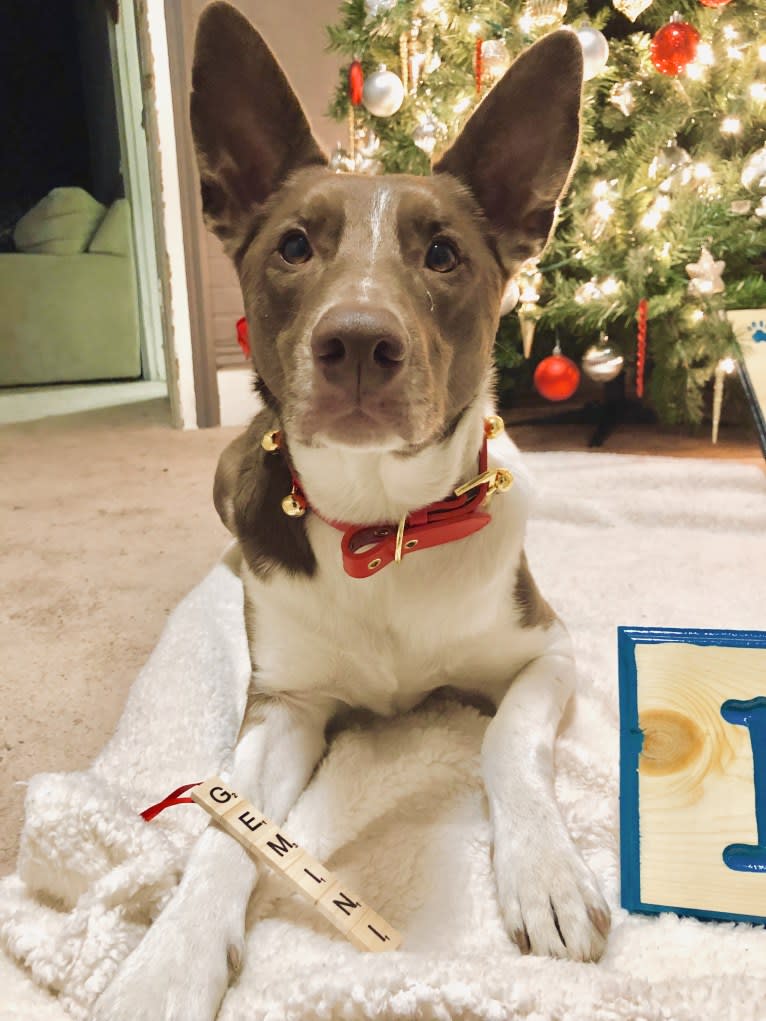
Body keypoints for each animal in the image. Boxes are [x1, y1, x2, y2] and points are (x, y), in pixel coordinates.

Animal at [96, 3, 612, 1016]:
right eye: (294, 246)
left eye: (443, 253)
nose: (361, 342)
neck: (384, 526)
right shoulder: (286, 704)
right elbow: (232, 830)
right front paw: (168, 961)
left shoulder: (548, 649)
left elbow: (507, 741)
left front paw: (546, 871)